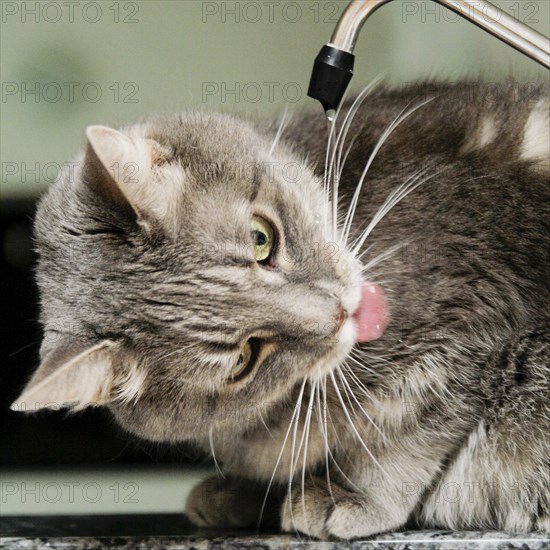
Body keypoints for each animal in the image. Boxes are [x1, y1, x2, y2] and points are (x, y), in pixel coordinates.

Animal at [10, 81, 548, 540]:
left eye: (261, 238)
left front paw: (350, 492)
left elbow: (404, 429)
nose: (341, 313)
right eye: (243, 360)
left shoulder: (474, 308)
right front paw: (242, 494)